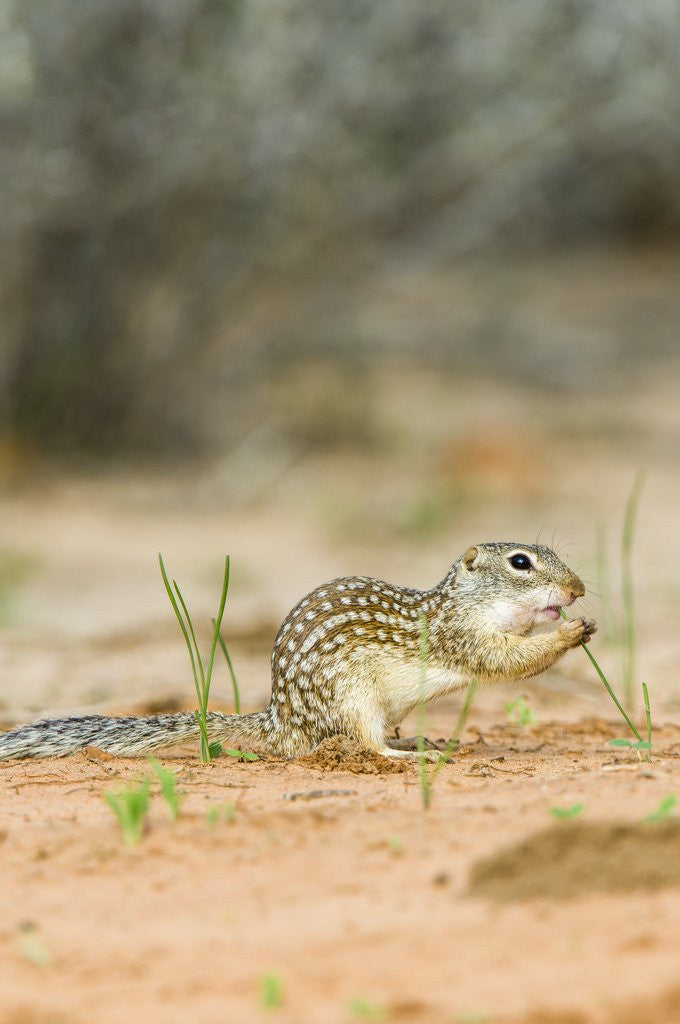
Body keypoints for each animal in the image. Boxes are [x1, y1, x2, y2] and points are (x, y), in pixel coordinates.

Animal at [0, 542, 595, 761]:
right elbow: (505, 662)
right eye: (521, 562)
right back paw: (407, 756)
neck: (466, 602)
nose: (579, 589)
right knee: (363, 743)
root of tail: (278, 723)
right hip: (354, 699)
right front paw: (570, 632)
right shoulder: (460, 635)